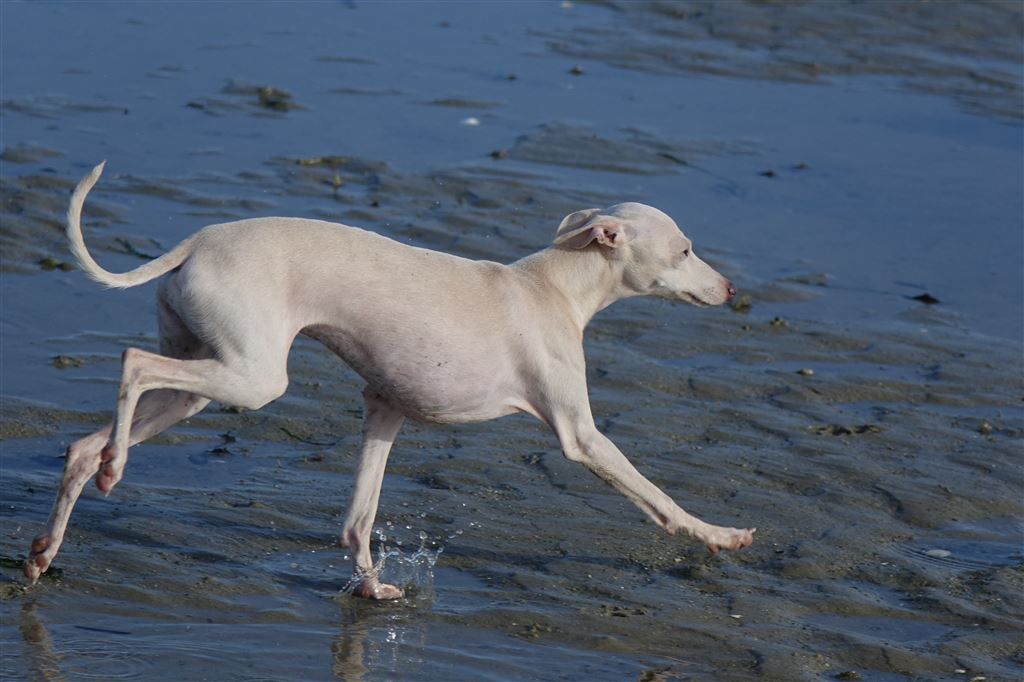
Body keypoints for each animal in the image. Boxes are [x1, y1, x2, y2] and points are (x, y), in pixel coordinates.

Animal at [25, 162, 755, 598]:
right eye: (685, 249)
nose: (730, 288)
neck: (552, 286)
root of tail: (196, 242)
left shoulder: (385, 407)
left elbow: (357, 520)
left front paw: (372, 590)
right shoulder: (579, 435)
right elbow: (657, 497)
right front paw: (721, 536)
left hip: (203, 384)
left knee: (84, 443)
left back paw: (45, 546)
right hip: (253, 379)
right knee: (131, 363)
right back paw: (115, 471)